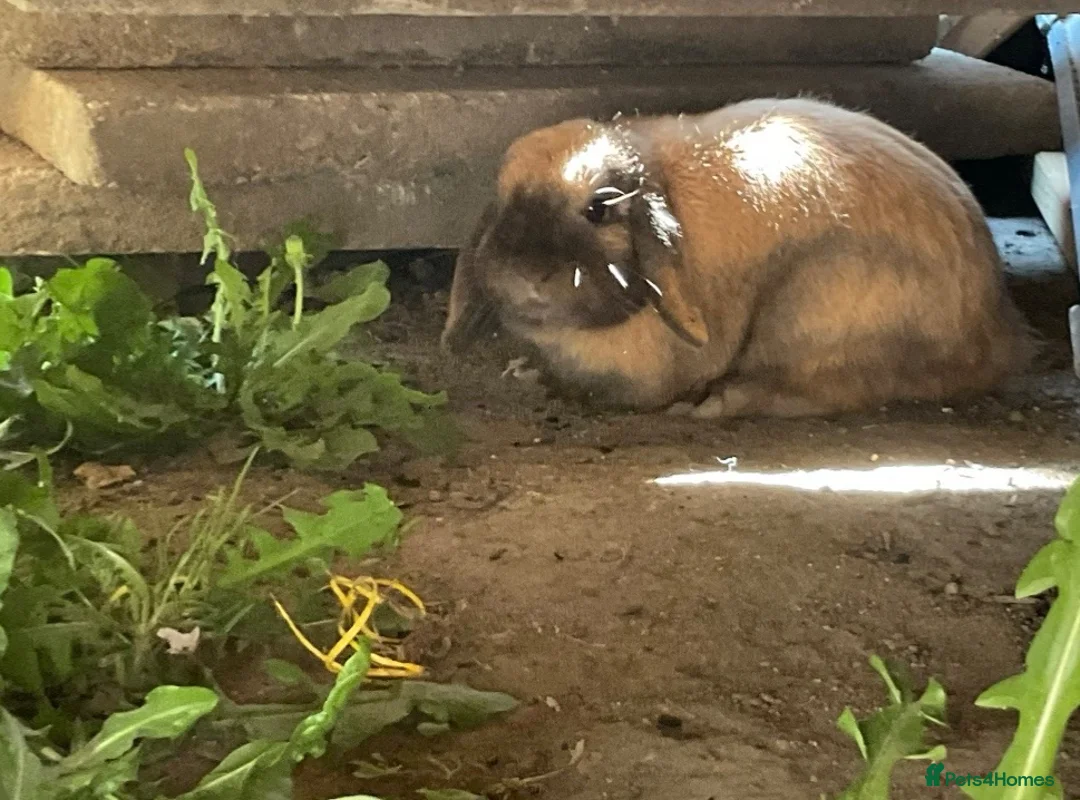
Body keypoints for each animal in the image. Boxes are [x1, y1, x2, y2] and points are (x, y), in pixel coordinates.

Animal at [440, 97, 1035, 418]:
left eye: (598, 209)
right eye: (502, 200)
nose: (526, 274)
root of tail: (996, 333)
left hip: (810, 313)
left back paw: (714, 405)